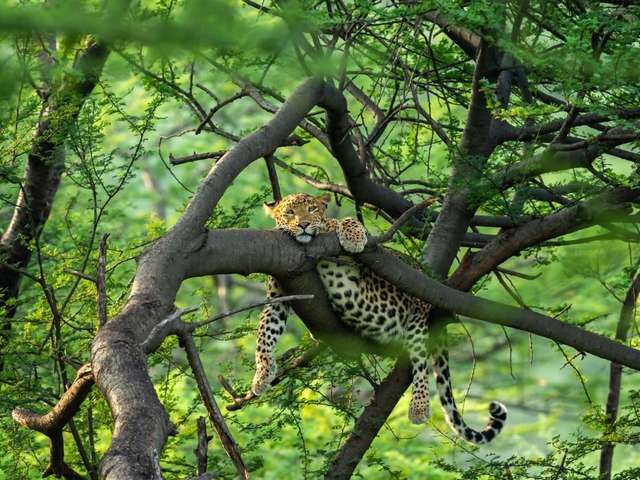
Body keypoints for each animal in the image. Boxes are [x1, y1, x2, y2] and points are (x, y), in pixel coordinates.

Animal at [251, 193, 507, 444]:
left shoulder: (354, 264)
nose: (303, 224)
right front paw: (262, 376)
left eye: (312, 209)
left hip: (417, 316)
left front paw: (353, 236)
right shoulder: (277, 298)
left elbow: (340, 222)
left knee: (421, 363)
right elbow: (264, 337)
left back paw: (419, 406)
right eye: (290, 213)